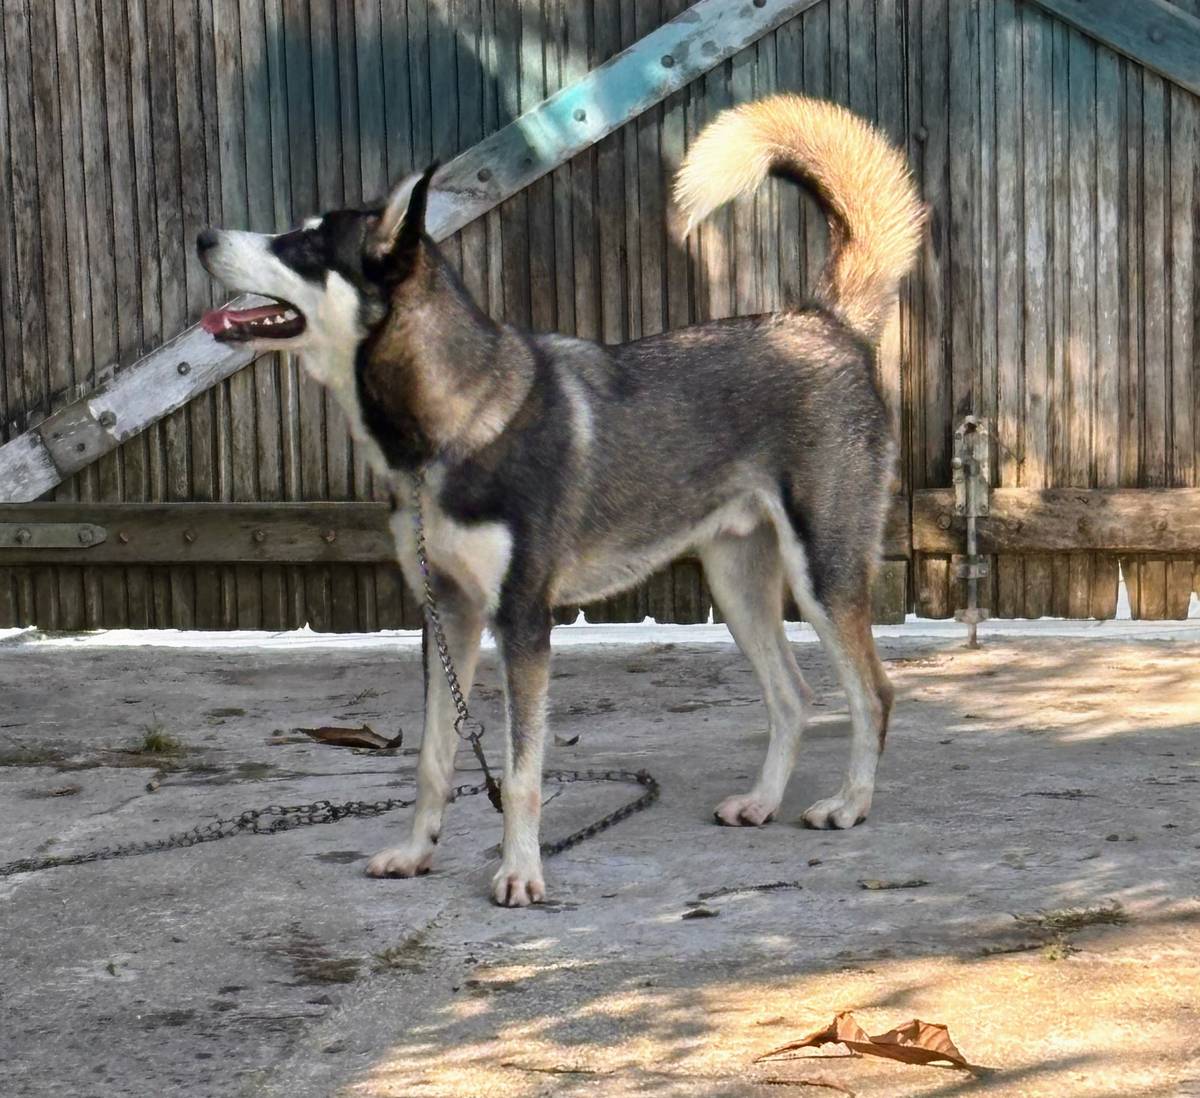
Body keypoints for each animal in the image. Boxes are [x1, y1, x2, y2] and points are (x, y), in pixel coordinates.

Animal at [196, 95, 925, 907]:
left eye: (304, 245)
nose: (202, 237)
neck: (451, 426)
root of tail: (823, 321)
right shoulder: (447, 616)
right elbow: (431, 759)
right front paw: (416, 852)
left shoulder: (522, 622)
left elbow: (521, 774)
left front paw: (520, 871)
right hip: (736, 584)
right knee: (794, 697)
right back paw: (763, 801)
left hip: (823, 574)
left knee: (873, 695)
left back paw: (849, 805)